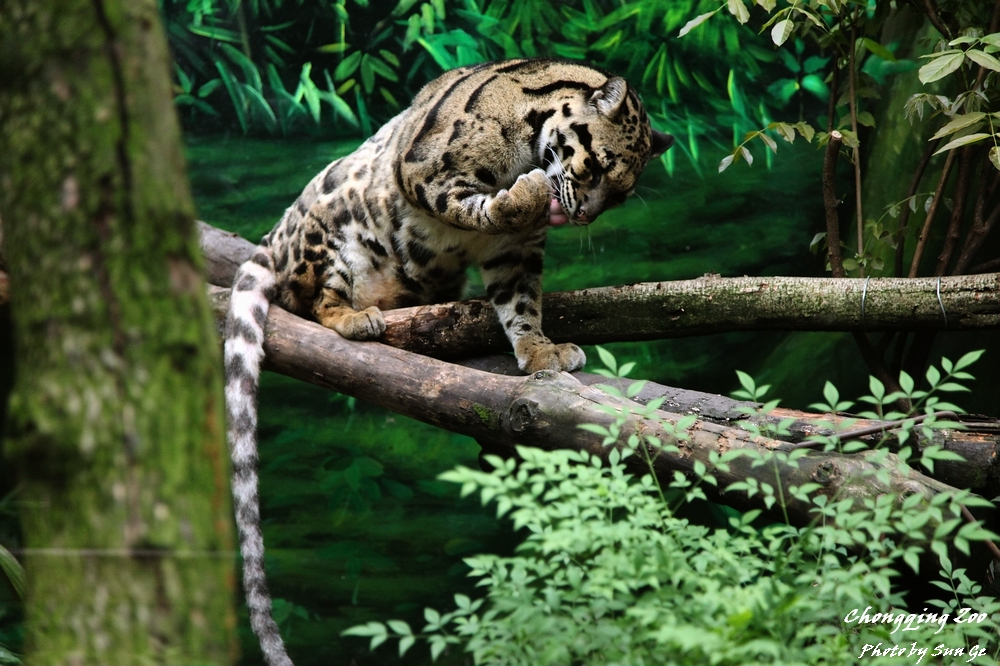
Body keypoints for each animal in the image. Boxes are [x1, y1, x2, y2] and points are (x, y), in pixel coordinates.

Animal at [223, 58, 673, 666]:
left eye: (622, 192)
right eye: (599, 166)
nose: (581, 216)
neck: (530, 141)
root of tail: (274, 238)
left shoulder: (517, 253)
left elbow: (521, 302)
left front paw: (539, 349)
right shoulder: (427, 174)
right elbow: (481, 208)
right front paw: (521, 194)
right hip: (331, 232)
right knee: (314, 299)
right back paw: (354, 317)